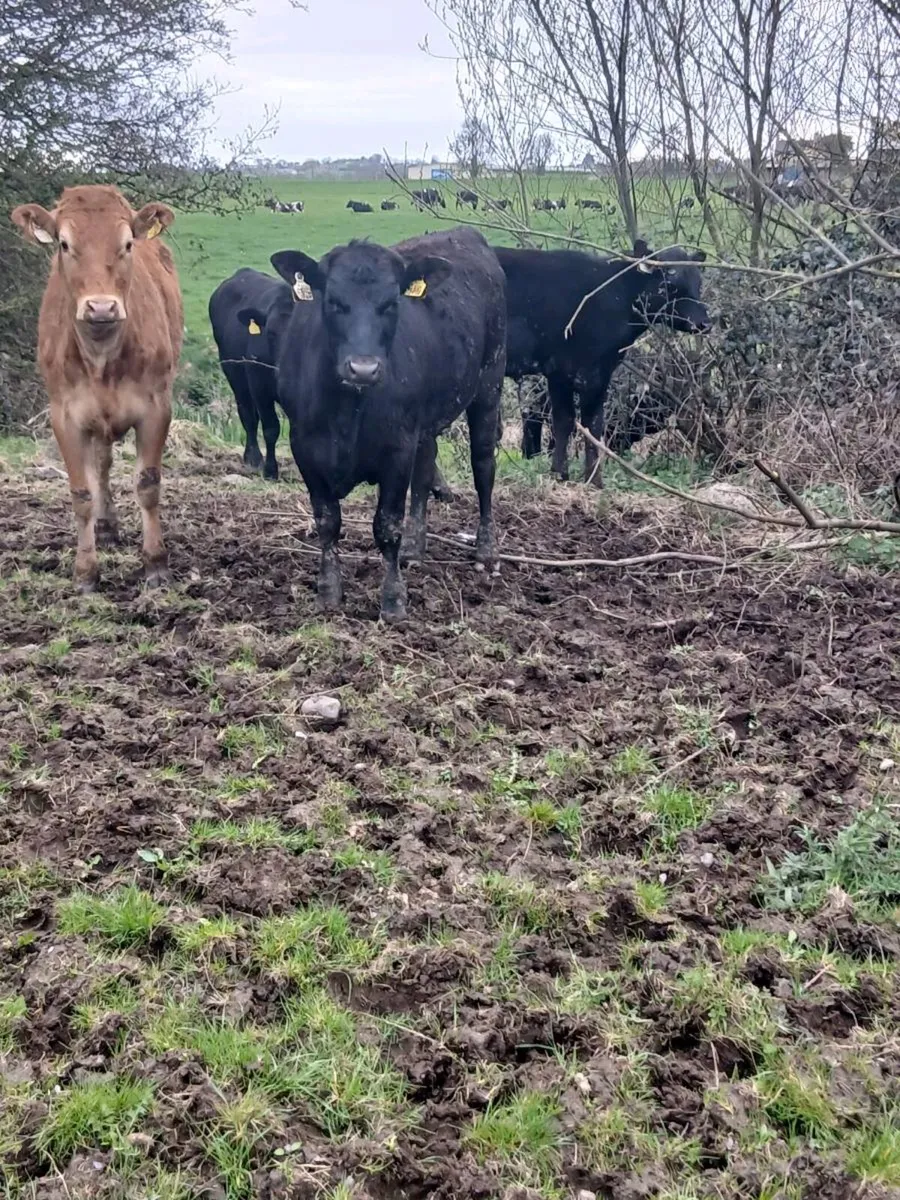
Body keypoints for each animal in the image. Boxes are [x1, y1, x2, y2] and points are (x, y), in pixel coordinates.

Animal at [11, 185, 183, 591]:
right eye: (64, 243)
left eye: (127, 243)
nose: (101, 307)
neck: (102, 356)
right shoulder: (65, 416)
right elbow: (82, 493)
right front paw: (86, 572)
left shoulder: (157, 408)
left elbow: (148, 485)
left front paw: (156, 564)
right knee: (100, 466)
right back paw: (104, 527)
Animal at [208, 269, 295, 480]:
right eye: (270, 333)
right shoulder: (260, 387)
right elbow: (271, 428)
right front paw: (271, 471)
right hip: (235, 376)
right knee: (248, 415)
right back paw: (253, 458)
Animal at [259, 227, 506, 622]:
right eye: (333, 301)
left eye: (391, 303)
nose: (363, 368)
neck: (347, 411)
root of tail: (465, 234)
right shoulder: (304, 446)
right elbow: (327, 519)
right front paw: (328, 591)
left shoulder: (397, 449)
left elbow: (387, 525)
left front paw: (393, 600)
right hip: (426, 421)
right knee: (425, 470)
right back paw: (415, 548)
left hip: (489, 383)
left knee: (483, 465)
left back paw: (486, 549)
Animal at [496, 240, 710, 483]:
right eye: (669, 285)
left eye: (698, 282)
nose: (704, 322)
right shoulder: (585, 371)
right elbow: (584, 422)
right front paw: (591, 479)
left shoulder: (566, 372)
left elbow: (573, 422)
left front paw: (564, 474)